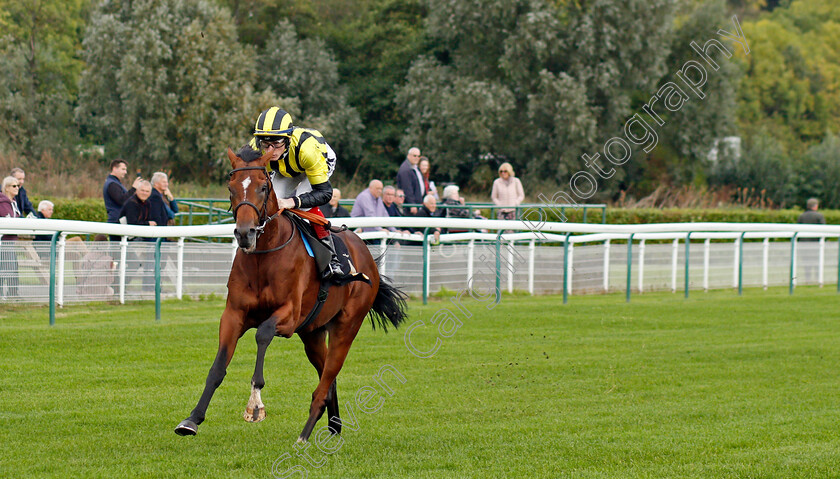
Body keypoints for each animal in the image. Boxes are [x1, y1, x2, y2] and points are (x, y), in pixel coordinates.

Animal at [175, 147, 406, 442]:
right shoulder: (234, 314)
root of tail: (366, 255)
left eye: (263, 188)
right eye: (231, 188)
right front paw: (192, 420)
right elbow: (217, 368)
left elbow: (263, 333)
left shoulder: (289, 315)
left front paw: (255, 405)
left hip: (346, 327)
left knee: (326, 380)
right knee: (327, 378)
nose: (245, 233)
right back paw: (333, 425)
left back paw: (305, 435)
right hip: (313, 334)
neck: (264, 257)